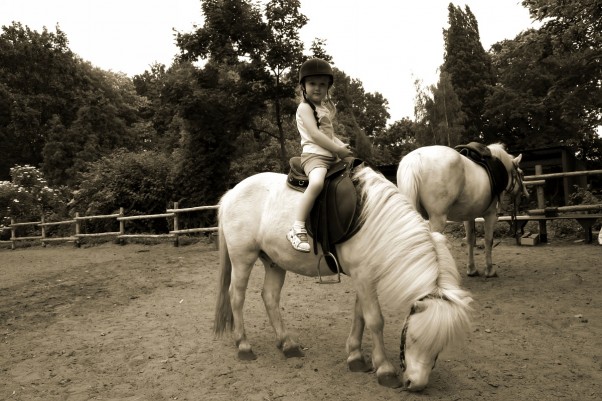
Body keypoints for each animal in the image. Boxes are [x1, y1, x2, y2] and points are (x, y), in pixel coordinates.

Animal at [213, 163, 472, 390]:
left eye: (439, 347)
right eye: (415, 338)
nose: (416, 385)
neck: (375, 222)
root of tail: (232, 193)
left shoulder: (364, 276)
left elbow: (360, 315)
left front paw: (356, 357)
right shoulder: (364, 276)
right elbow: (375, 320)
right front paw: (385, 370)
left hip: (274, 262)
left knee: (270, 297)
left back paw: (287, 344)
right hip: (243, 258)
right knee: (236, 297)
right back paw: (244, 346)